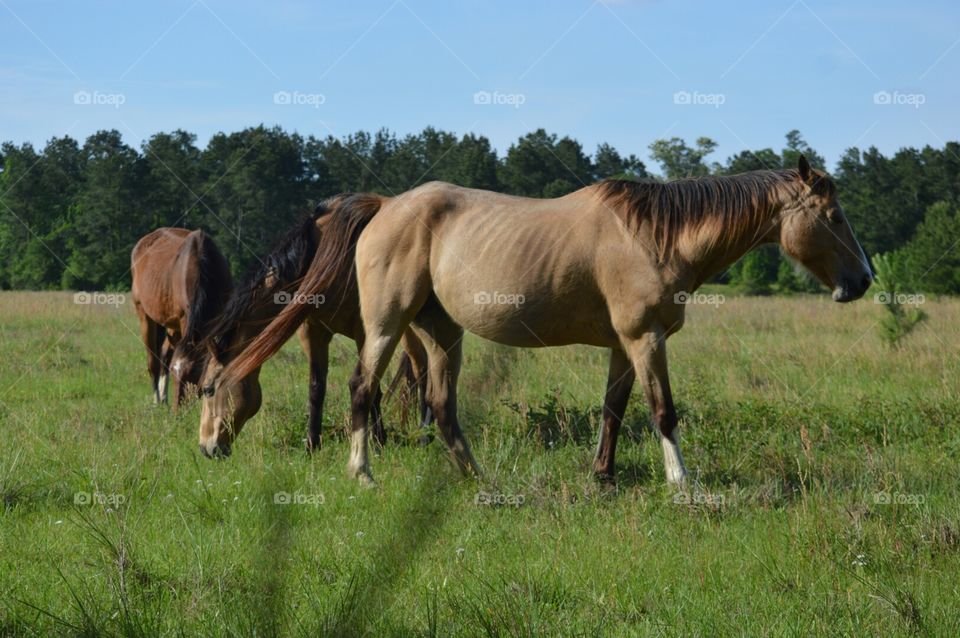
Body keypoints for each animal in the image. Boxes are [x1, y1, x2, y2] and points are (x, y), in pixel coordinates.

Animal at [130, 228, 232, 408]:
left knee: (164, 354)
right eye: (175, 372)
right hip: (144, 314)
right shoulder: (186, 320)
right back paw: (157, 400)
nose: (179, 409)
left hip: (172, 324)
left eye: (195, 372)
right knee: (153, 361)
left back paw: (163, 397)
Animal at [197, 194, 430, 458]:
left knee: (423, 369)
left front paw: (379, 442)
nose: (206, 448)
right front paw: (312, 445)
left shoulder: (365, 333)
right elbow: (316, 388)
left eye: (208, 389)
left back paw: (426, 436)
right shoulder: (313, 332)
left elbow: (372, 386)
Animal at [220, 156, 872, 485]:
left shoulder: (624, 346)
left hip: (440, 332)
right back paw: (362, 473)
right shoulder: (646, 340)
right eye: (834, 217)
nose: (864, 280)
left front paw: (603, 478)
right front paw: (680, 482)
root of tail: (385, 207)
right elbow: (663, 411)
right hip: (386, 325)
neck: (656, 237)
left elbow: (614, 411)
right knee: (362, 389)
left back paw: (476, 478)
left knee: (442, 404)